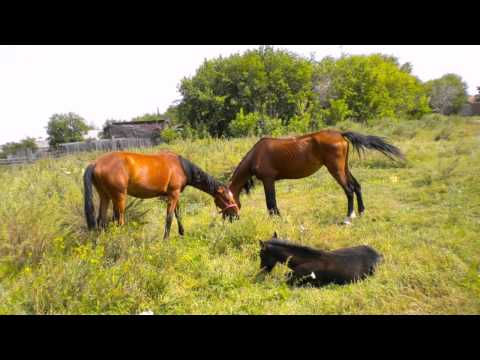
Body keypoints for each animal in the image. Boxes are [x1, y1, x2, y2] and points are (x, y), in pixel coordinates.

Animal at [84, 150, 240, 240]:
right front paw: (166, 239)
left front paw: (182, 233)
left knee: (101, 221)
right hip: (119, 197)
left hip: (105, 196)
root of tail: (95, 163)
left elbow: (178, 214)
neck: (181, 166)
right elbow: (169, 217)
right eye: (227, 198)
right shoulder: (173, 194)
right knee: (119, 221)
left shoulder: (175, 195)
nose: (236, 215)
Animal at [229, 129, 404, 224]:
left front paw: (277, 218)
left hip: (335, 169)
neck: (257, 154)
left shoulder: (268, 180)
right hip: (344, 168)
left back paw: (349, 216)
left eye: (224, 200)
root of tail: (340, 134)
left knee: (349, 190)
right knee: (357, 186)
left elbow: (271, 202)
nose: (230, 219)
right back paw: (361, 212)